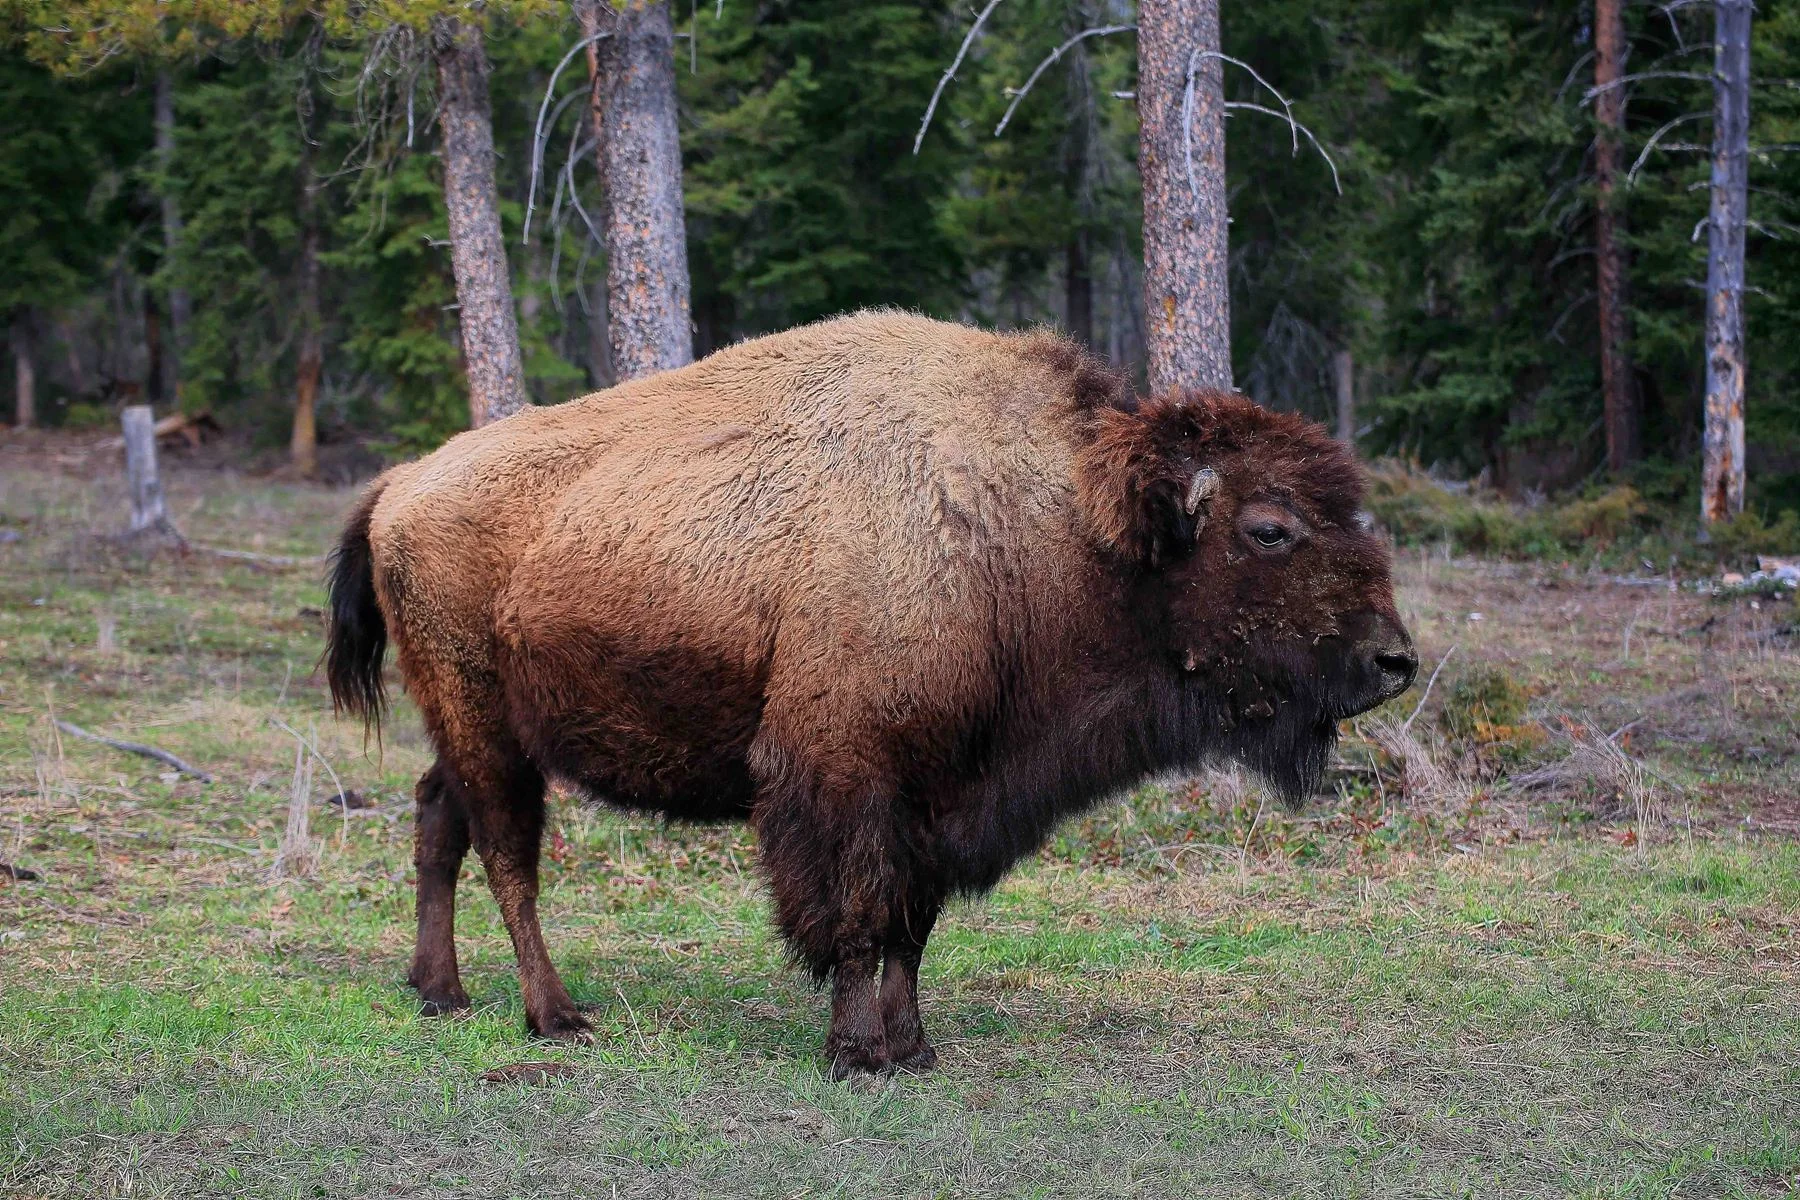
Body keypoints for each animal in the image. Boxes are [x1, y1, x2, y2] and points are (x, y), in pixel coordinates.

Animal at [325, 311, 1416, 1078]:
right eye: (1269, 528)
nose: (1393, 661)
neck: (1042, 522)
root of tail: (403, 481)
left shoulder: (940, 793)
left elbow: (911, 927)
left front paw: (914, 1047)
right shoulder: (843, 775)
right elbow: (855, 915)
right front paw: (857, 1053)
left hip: (462, 723)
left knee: (437, 824)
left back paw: (440, 993)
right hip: (486, 722)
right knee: (507, 857)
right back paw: (553, 1017)